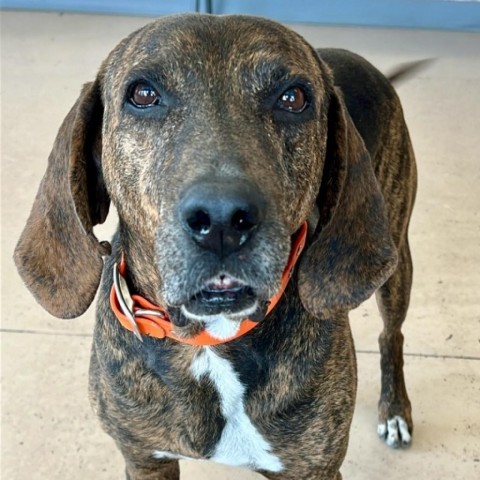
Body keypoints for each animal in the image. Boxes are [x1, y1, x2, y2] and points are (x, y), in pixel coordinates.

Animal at [13, 14, 416, 480]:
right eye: (143, 94)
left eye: (293, 97)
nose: (222, 220)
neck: (209, 341)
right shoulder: (143, 459)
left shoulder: (313, 468)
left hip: (397, 257)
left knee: (392, 334)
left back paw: (395, 411)